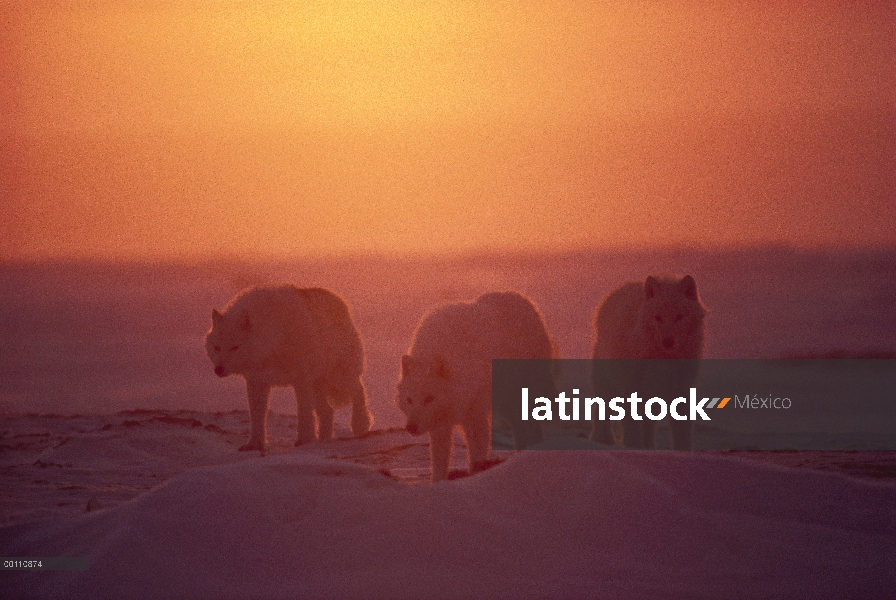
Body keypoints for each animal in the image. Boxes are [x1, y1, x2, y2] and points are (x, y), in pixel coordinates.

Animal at [206, 284, 372, 450]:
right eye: (217, 348)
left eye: (234, 347)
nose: (218, 369)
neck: (276, 336)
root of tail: (342, 303)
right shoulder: (257, 382)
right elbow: (256, 417)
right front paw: (254, 444)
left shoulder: (301, 380)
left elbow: (304, 414)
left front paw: (304, 441)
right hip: (318, 386)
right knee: (328, 412)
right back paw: (323, 441)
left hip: (338, 377)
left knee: (359, 390)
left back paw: (360, 425)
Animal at [398, 292, 552, 486]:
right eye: (409, 400)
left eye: (429, 398)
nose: (411, 427)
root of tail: (522, 299)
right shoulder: (440, 426)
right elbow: (439, 463)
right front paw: (438, 484)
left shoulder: (475, 418)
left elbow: (477, 456)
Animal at [588, 274, 708, 448]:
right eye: (657, 317)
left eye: (679, 317)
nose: (668, 341)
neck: (663, 359)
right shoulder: (631, 391)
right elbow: (632, 431)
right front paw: (633, 448)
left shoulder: (681, 390)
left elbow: (682, 434)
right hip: (607, 385)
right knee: (601, 415)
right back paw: (601, 440)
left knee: (648, 426)